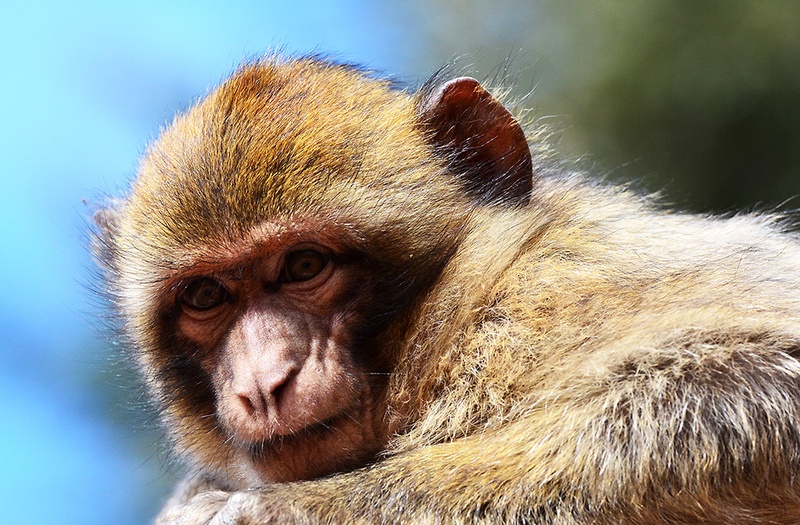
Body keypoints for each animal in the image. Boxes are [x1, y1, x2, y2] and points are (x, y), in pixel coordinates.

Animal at [93, 54, 800, 524]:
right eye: (206, 297)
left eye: (304, 266)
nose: (264, 382)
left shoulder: (557, 291)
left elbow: (760, 376)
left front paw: (278, 510)